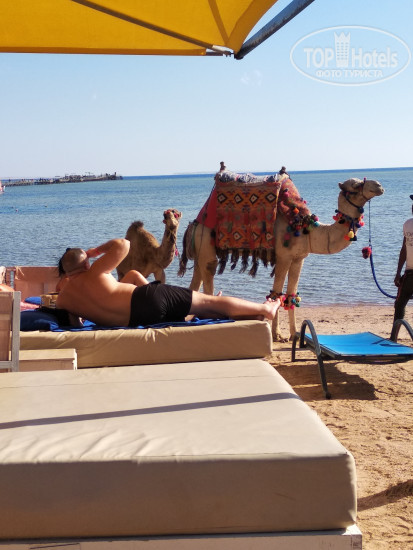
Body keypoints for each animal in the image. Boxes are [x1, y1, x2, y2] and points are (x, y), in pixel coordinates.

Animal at [179, 176, 384, 341]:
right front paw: (277, 335)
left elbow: (291, 294)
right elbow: (276, 292)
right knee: (208, 279)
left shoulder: (299, 258)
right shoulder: (284, 256)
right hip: (206, 245)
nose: (379, 186)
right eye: (355, 187)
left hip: (199, 253)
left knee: (194, 283)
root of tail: (193, 224)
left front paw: (294, 334)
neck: (307, 230)